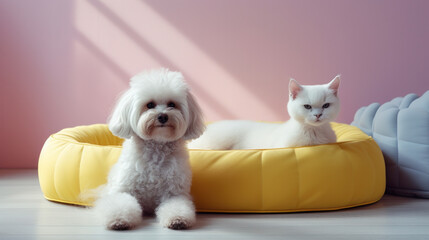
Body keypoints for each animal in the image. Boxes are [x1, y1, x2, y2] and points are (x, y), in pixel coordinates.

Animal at [94, 69, 205, 231]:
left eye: (172, 104)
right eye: (150, 104)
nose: (163, 116)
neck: (156, 148)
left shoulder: (173, 193)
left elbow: (176, 207)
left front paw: (178, 220)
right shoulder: (124, 190)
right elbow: (120, 203)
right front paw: (119, 220)